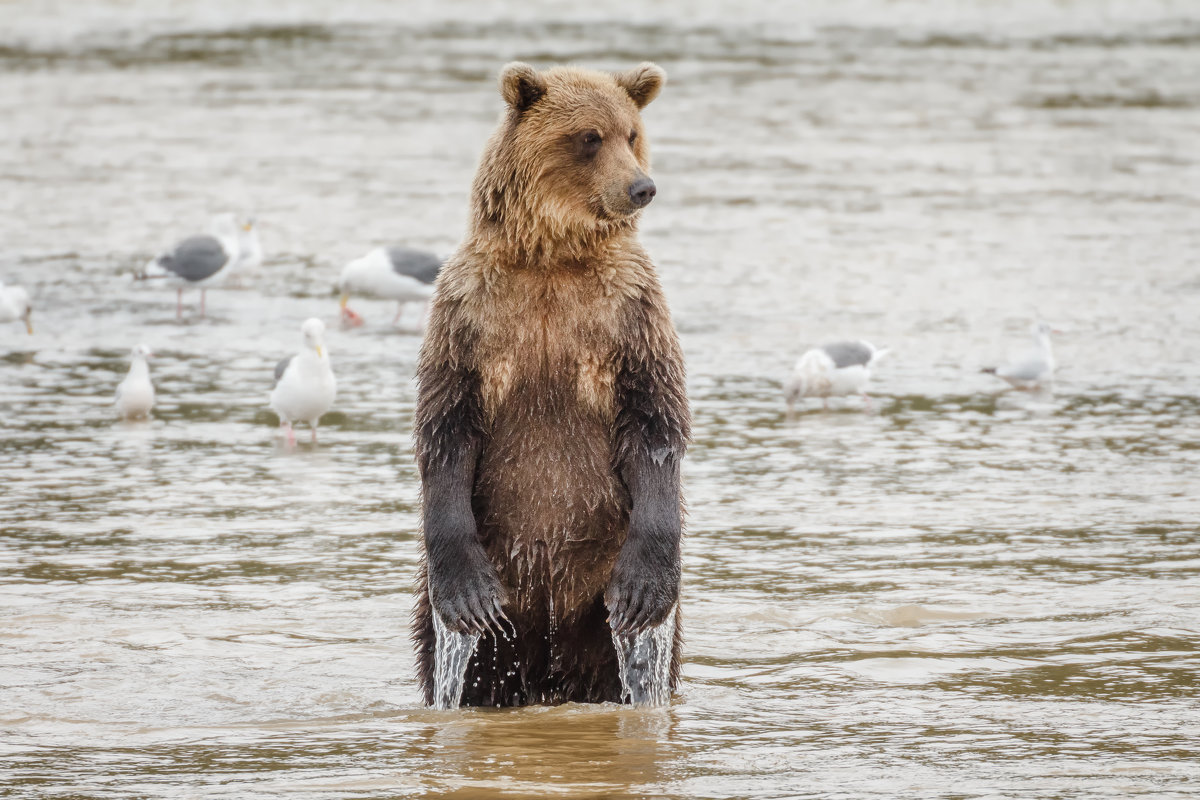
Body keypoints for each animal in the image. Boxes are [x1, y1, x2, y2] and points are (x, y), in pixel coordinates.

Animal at [412, 59, 691, 705]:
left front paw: (646, 587)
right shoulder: (469, 312)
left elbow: (655, 419)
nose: (641, 187)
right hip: (497, 591)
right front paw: (465, 595)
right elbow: (446, 424)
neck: (551, 257)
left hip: (599, 579)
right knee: (456, 656)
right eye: (589, 137)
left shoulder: (630, 312)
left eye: (632, 134)